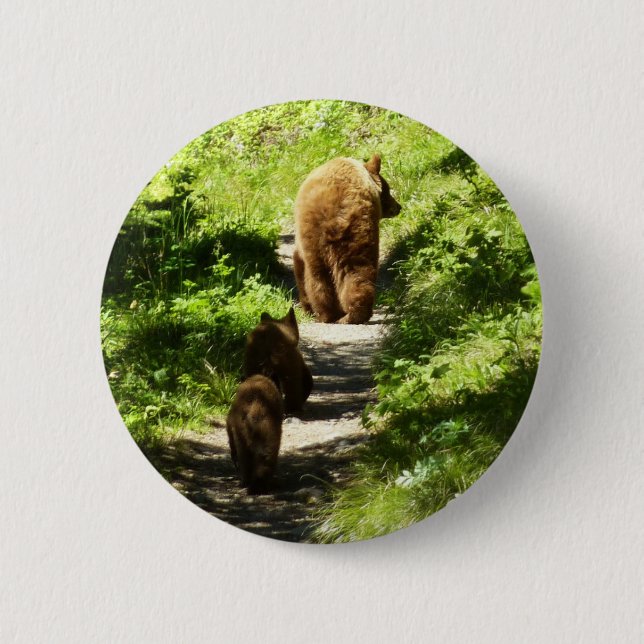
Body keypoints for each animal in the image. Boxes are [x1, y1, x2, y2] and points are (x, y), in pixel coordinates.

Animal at [293, 154, 401, 324]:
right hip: (354, 233)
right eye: (388, 189)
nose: (398, 207)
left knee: (320, 276)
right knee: (355, 271)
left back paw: (329, 314)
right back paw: (350, 314)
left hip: (320, 236)